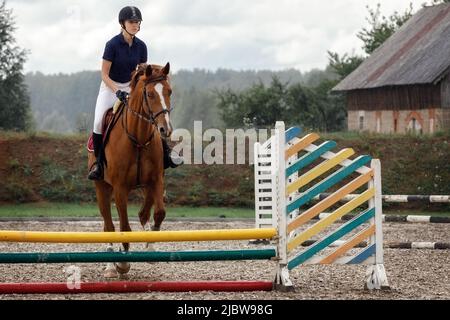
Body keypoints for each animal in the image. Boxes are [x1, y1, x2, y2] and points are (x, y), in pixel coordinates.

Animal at [87, 62, 172, 278]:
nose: (165, 130)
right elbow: (124, 226)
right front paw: (123, 263)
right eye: (149, 94)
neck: (139, 138)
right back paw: (111, 266)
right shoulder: (120, 189)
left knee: (141, 213)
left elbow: (158, 212)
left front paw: (150, 245)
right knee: (108, 226)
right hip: (102, 187)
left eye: (169, 91)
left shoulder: (156, 180)